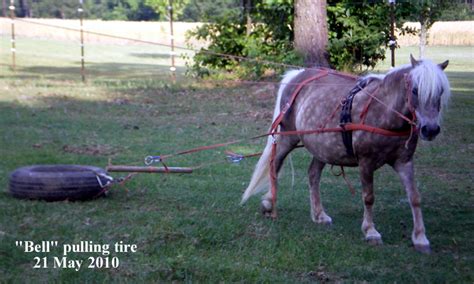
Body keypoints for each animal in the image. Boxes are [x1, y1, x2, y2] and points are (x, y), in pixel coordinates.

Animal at [243, 55, 450, 253]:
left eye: (440, 92)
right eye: (415, 90)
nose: (430, 129)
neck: (383, 109)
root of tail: (297, 75)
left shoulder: (404, 161)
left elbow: (414, 197)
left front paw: (420, 238)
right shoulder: (366, 162)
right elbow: (369, 197)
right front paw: (370, 231)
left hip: (322, 148)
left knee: (313, 174)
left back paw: (319, 214)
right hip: (288, 138)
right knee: (275, 164)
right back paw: (269, 203)